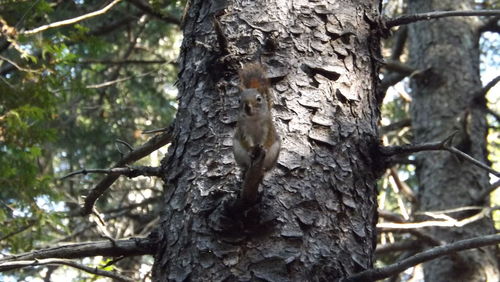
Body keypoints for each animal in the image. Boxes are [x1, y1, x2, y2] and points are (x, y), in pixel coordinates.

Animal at [232, 62, 280, 204]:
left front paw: (263, 147)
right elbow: (246, 140)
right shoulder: (242, 129)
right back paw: (245, 170)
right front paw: (251, 149)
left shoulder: (268, 127)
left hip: (273, 156)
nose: (247, 107)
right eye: (238, 100)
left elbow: (267, 139)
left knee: (265, 169)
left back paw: (262, 172)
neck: (253, 119)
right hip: (238, 153)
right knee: (245, 166)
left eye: (259, 99)